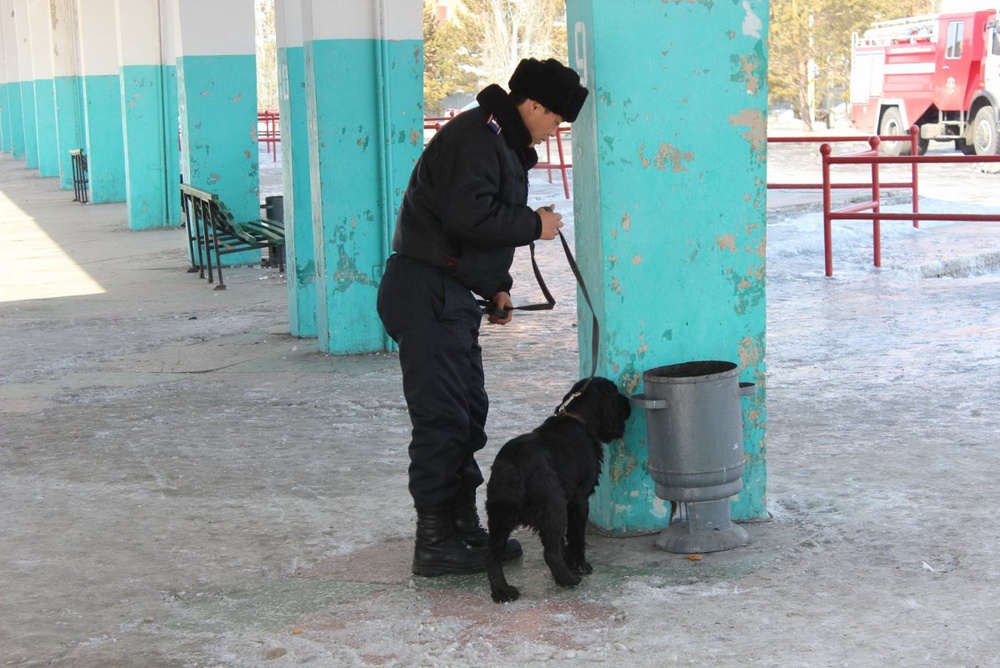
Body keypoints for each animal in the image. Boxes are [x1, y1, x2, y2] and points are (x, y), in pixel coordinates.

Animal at [484, 378, 632, 604]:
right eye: (616, 394)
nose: (629, 403)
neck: (578, 417)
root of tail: (514, 465)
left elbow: (563, 541)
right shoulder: (579, 499)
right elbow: (576, 536)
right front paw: (580, 566)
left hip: (499, 516)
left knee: (493, 555)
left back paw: (502, 591)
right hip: (553, 507)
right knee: (550, 554)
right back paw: (568, 579)